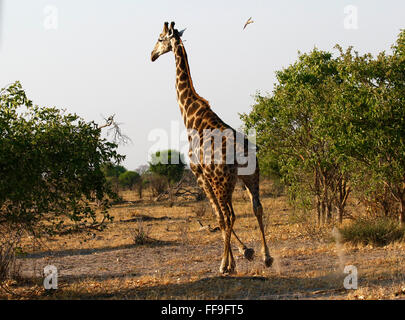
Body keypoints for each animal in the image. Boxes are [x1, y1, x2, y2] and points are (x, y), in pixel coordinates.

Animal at [149, 21, 272, 274]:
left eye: (159, 38)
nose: (151, 55)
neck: (191, 116)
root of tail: (242, 153)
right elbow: (224, 218)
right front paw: (245, 252)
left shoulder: (199, 174)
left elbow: (218, 218)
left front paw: (234, 259)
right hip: (251, 177)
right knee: (257, 207)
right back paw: (267, 257)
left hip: (221, 182)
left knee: (229, 215)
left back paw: (223, 265)